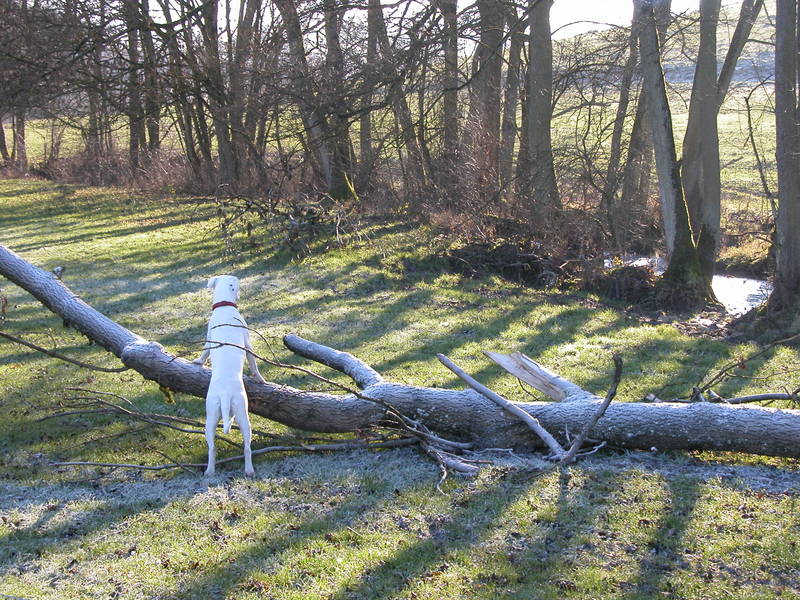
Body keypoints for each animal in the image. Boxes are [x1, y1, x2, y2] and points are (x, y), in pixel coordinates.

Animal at [193, 274, 266, 476]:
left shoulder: (209, 337)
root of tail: (225, 395)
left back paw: (210, 471)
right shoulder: (248, 344)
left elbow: (205, 351)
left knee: (212, 447)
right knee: (247, 446)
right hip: (243, 413)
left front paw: (197, 361)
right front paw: (260, 379)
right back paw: (249, 470)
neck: (224, 306)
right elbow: (253, 364)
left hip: (210, 417)